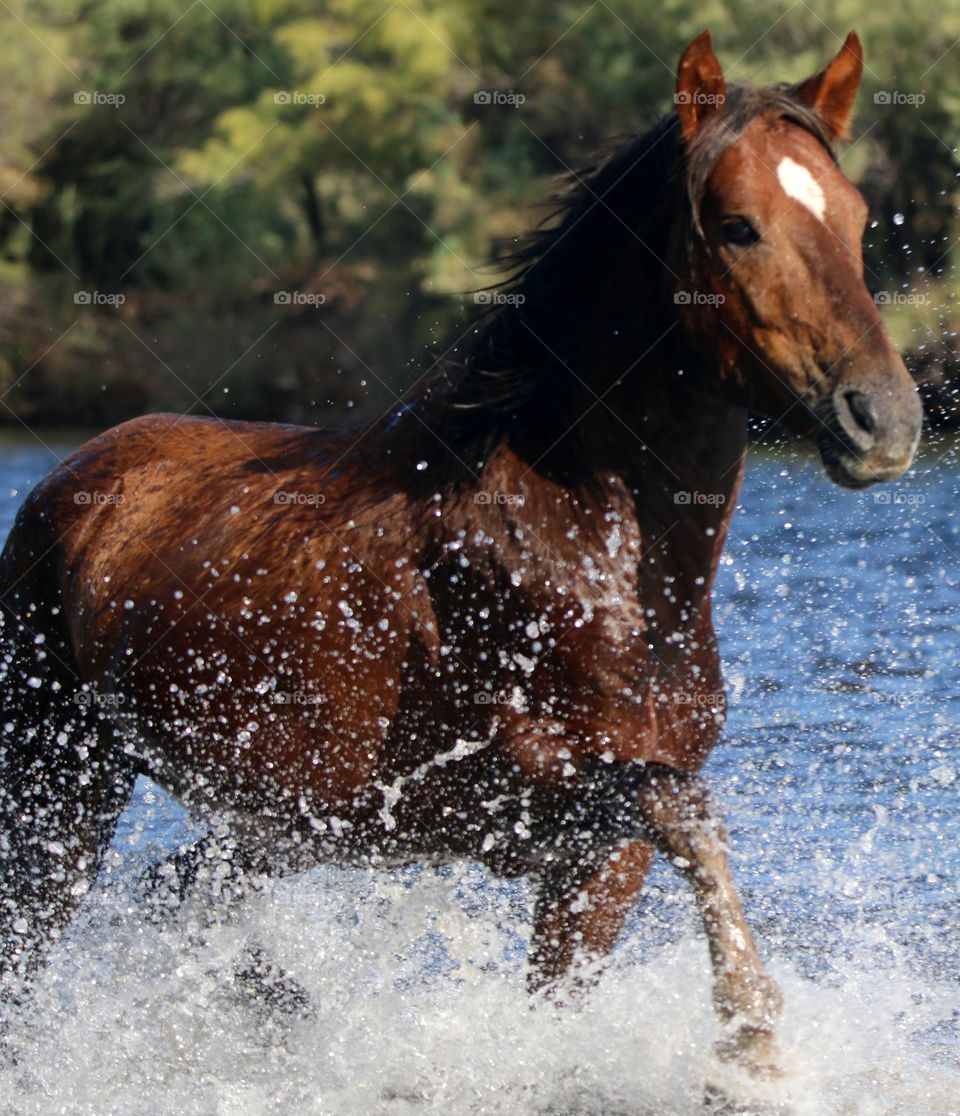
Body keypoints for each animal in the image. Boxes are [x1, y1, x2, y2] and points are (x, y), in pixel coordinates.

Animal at [0, 29, 921, 1084]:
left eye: (855, 218)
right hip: (60, 782)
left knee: (175, 894)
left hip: (272, 821)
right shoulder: (510, 792)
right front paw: (753, 1033)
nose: (885, 422)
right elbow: (686, 808)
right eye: (737, 225)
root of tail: (71, 476)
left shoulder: (590, 857)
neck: (602, 563)